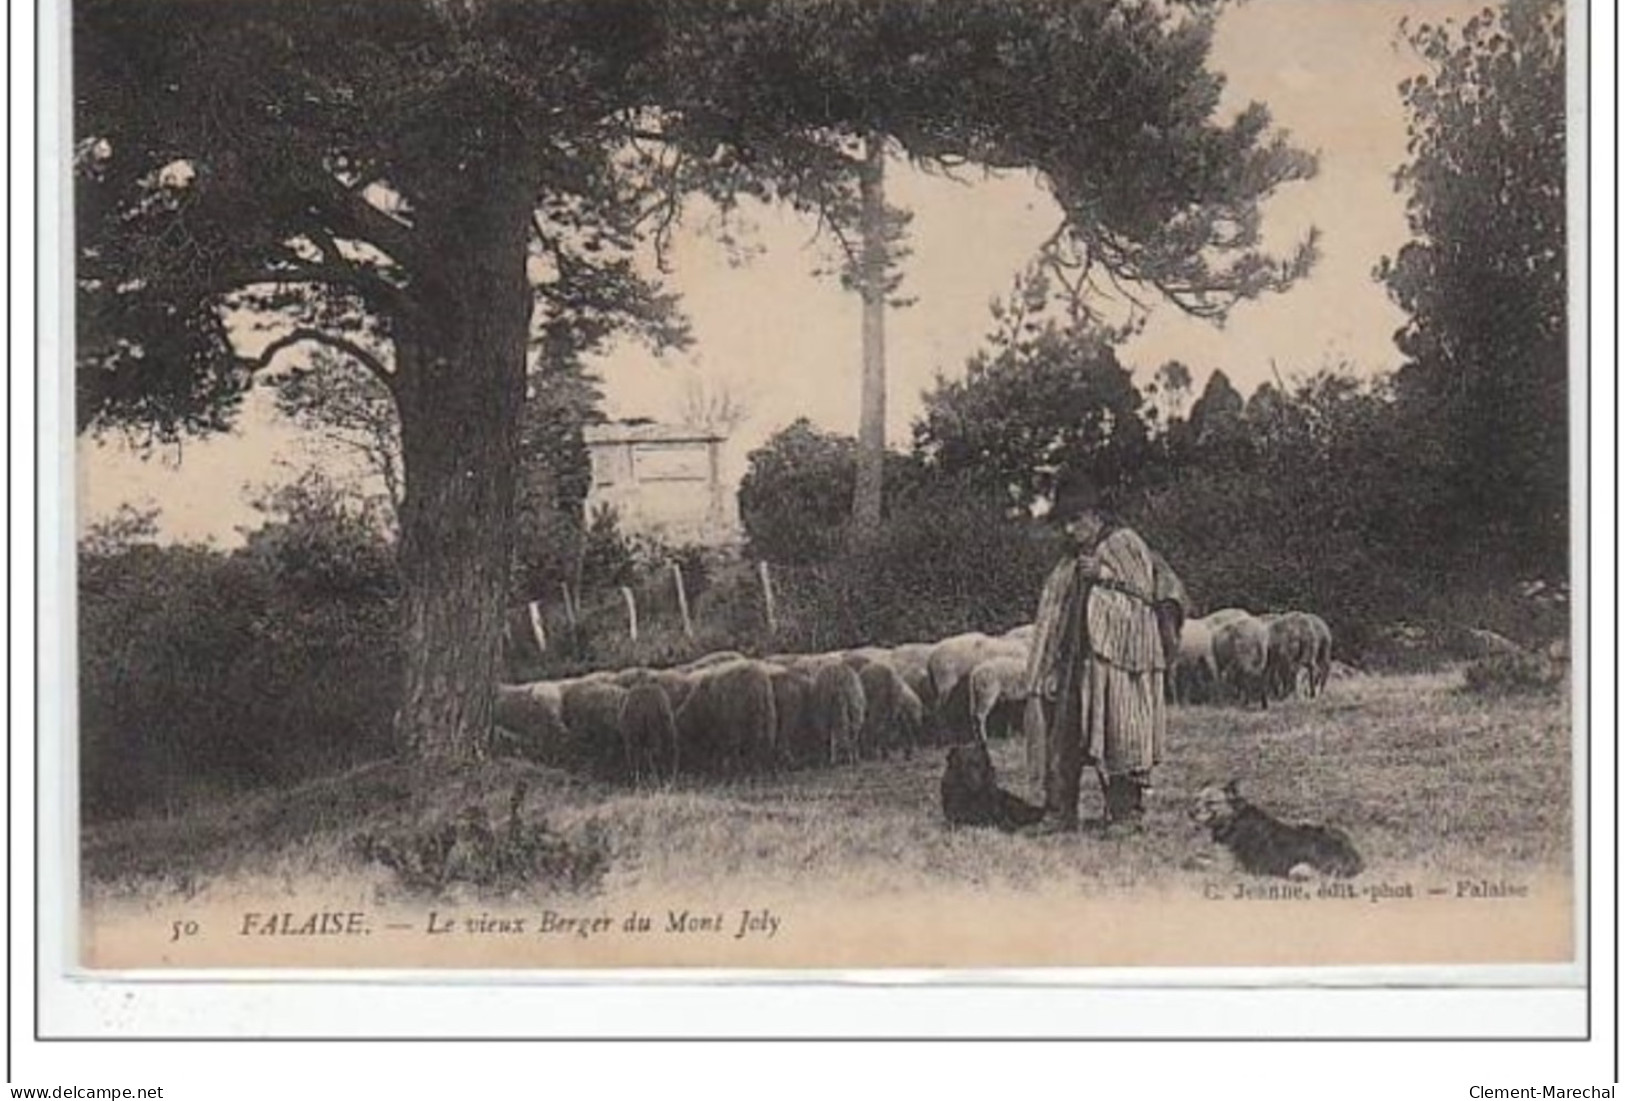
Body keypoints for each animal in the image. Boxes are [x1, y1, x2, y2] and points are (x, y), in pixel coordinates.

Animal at [1189, 779, 1365, 883]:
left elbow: (1199, 863)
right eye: (1196, 799)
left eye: (1211, 802)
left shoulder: (1225, 867)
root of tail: (1353, 856)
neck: (1234, 819)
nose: (1190, 812)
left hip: (1299, 867)